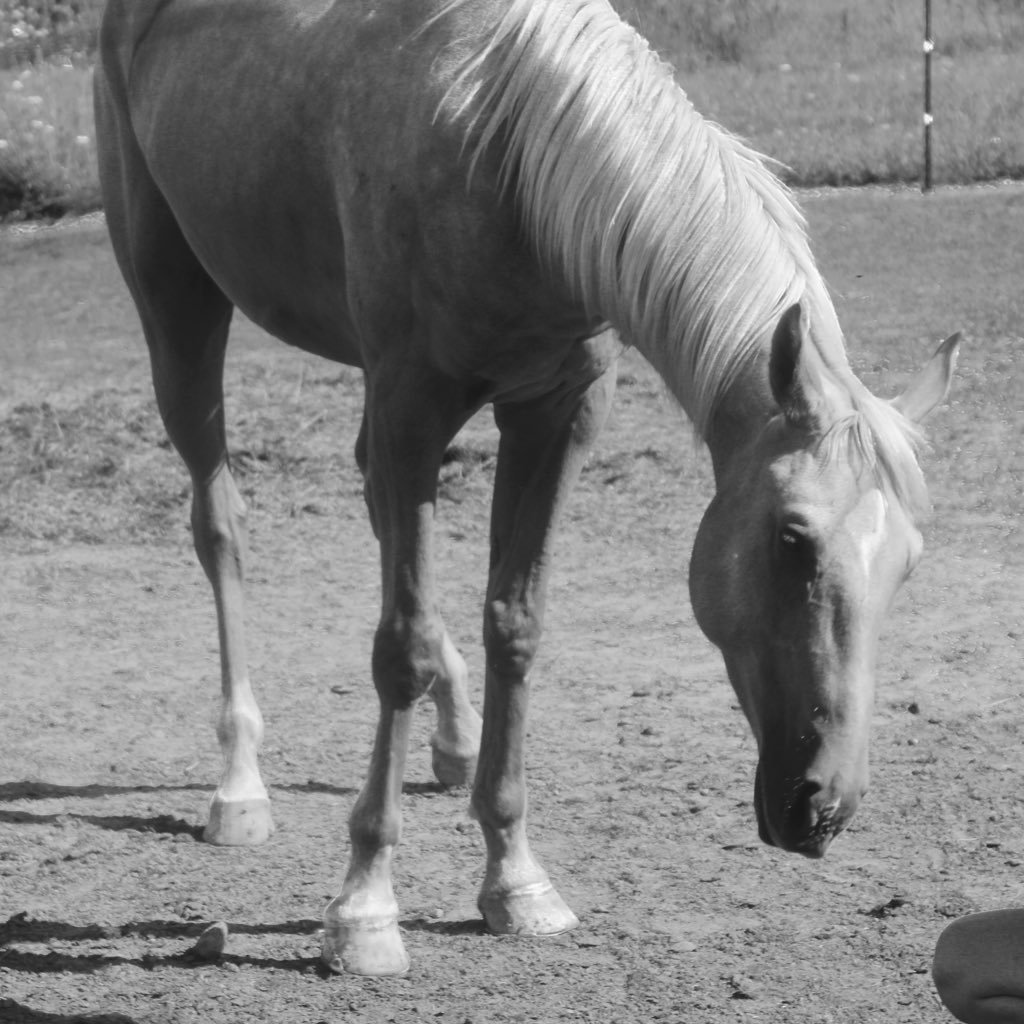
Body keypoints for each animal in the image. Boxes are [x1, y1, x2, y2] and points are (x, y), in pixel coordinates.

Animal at [94, 0, 958, 976]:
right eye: (790, 538)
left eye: (908, 565)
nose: (824, 808)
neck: (501, 148)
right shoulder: (411, 405)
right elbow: (400, 648)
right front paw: (365, 907)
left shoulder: (557, 411)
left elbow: (515, 624)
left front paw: (516, 877)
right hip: (178, 305)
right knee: (221, 525)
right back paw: (239, 783)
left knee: (375, 514)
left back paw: (455, 737)